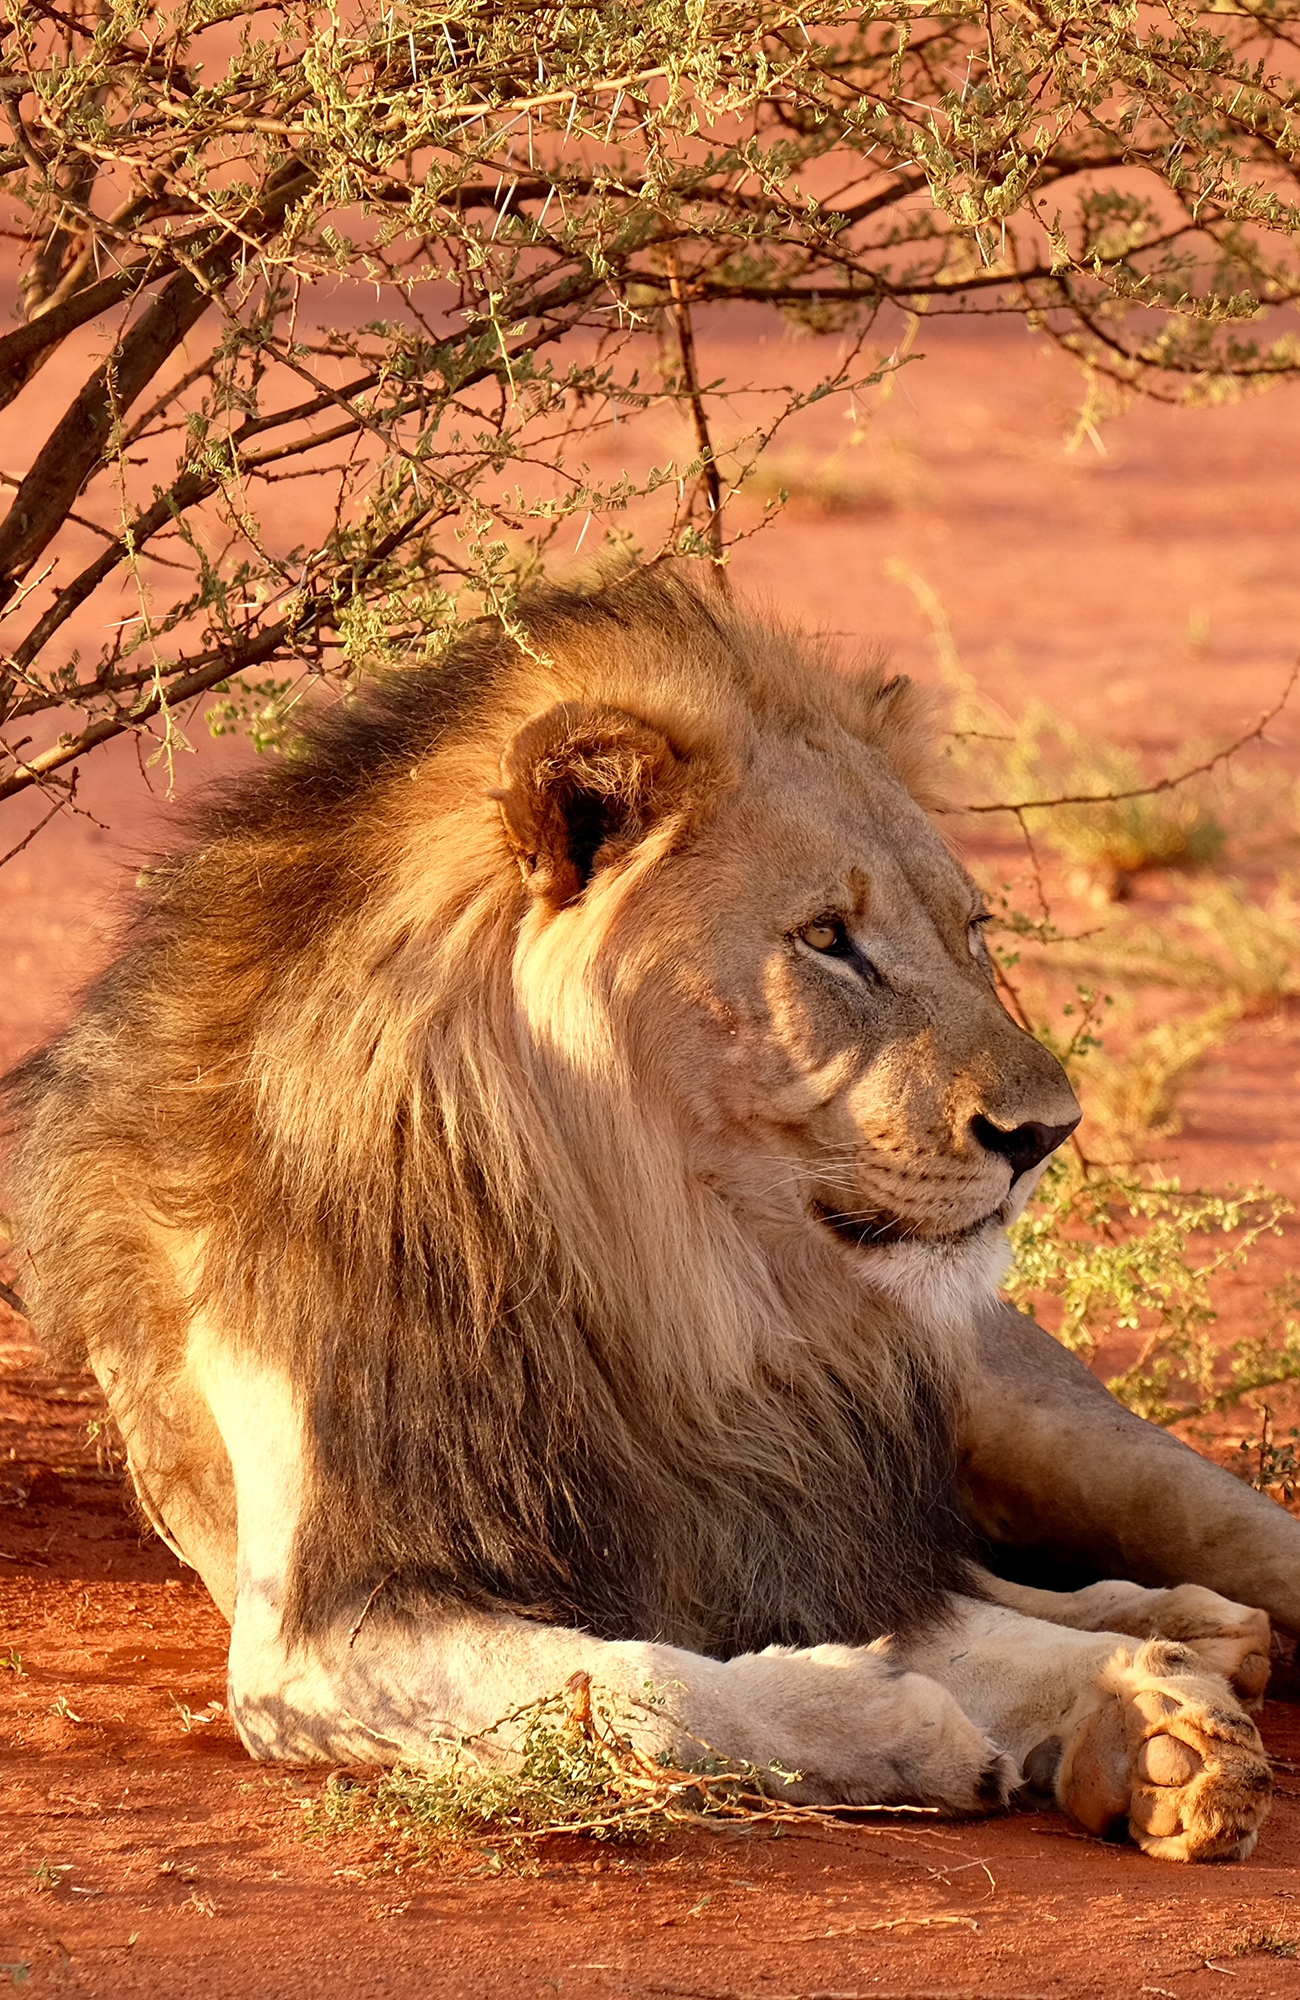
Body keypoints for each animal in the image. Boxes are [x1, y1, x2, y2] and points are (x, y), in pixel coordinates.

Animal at [5, 567, 1298, 1862]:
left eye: (970, 931)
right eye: (827, 939)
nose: (1046, 1133)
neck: (651, 1274)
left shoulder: (755, 1510)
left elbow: (936, 1624)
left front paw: (1141, 1713)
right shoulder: (320, 1631)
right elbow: (644, 1680)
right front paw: (923, 1720)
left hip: (1047, 1426)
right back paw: (1189, 1636)